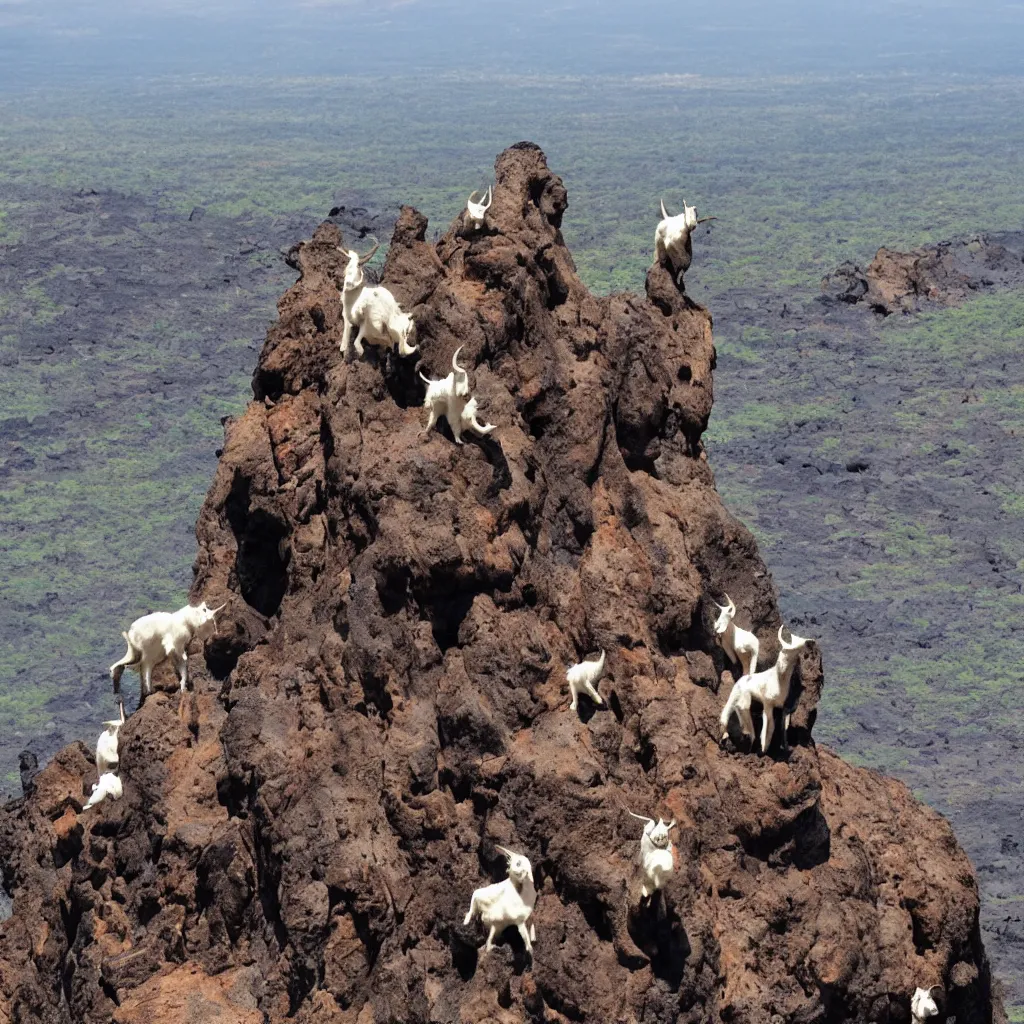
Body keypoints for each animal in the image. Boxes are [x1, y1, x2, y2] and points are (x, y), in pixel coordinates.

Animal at [716, 622, 811, 753]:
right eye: (783, 650)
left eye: (795, 655)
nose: (781, 665)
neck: (778, 681)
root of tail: (743, 678)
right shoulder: (767, 704)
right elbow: (768, 727)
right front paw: (763, 749)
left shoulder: (782, 708)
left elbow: (780, 727)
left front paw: (783, 748)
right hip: (739, 695)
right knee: (735, 710)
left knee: (730, 712)